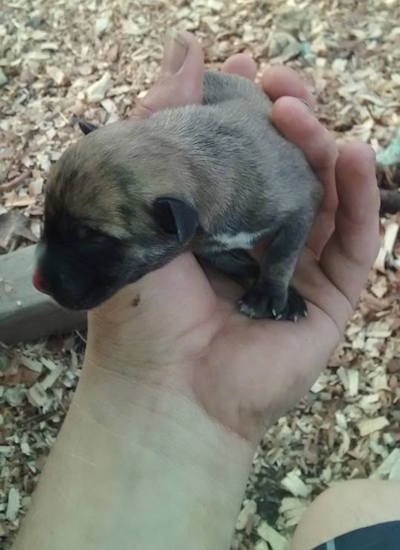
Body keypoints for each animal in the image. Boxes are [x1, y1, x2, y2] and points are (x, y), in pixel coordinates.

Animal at [33, 71, 322, 322]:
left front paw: (269, 292)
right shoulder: (205, 247)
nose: (38, 283)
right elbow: (236, 263)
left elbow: (282, 252)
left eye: (91, 237)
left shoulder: (303, 202)